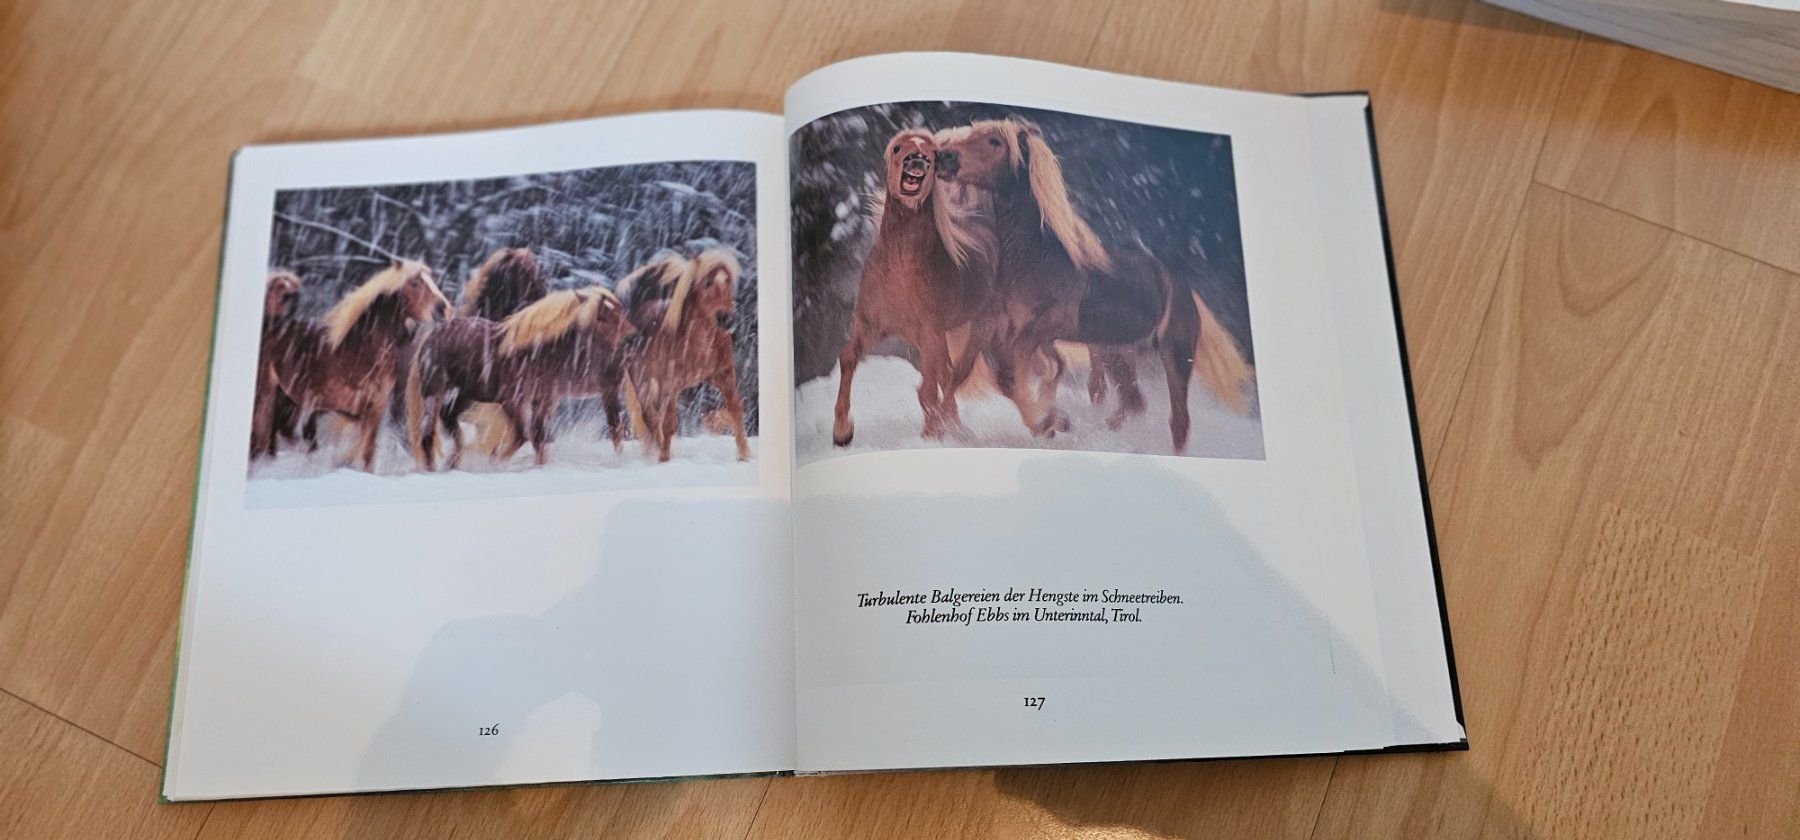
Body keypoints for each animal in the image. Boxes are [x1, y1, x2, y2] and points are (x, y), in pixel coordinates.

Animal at [264, 259, 450, 471]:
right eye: (413, 283)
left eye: (432, 280)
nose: (442, 309)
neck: (363, 348)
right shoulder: (349, 408)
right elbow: (363, 450)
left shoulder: (373, 410)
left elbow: (366, 451)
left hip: (288, 399)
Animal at [406, 286, 635, 469]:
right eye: (602, 318)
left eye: (620, 311)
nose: (631, 337)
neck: (537, 353)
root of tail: (433, 335)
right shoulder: (513, 401)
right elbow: (524, 435)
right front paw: (496, 461)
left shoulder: (545, 400)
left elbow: (537, 438)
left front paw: (537, 466)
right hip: (434, 390)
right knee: (428, 434)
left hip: (467, 395)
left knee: (448, 418)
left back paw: (454, 461)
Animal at [622, 248, 751, 463]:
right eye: (706, 283)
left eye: (729, 282)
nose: (726, 319)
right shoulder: (672, 384)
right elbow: (669, 424)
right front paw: (664, 459)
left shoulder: (724, 375)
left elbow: (735, 409)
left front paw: (744, 455)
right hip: (644, 381)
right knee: (651, 418)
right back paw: (655, 453)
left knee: (654, 419)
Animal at [830, 128, 996, 447]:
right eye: (897, 148)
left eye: (932, 153)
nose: (917, 159)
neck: (901, 271)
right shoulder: (871, 326)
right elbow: (847, 357)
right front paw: (842, 431)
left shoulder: (929, 332)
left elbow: (930, 387)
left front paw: (931, 435)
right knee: (947, 373)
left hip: (977, 326)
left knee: (956, 373)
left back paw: (954, 429)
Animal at [934, 118, 1250, 453]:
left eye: (994, 141)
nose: (945, 157)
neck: (1030, 259)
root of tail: (1179, 284)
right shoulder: (989, 326)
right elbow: (973, 374)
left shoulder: (1036, 330)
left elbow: (1017, 375)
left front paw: (1048, 421)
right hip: (1117, 354)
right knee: (1134, 402)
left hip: (1176, 355)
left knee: (1178, 421)